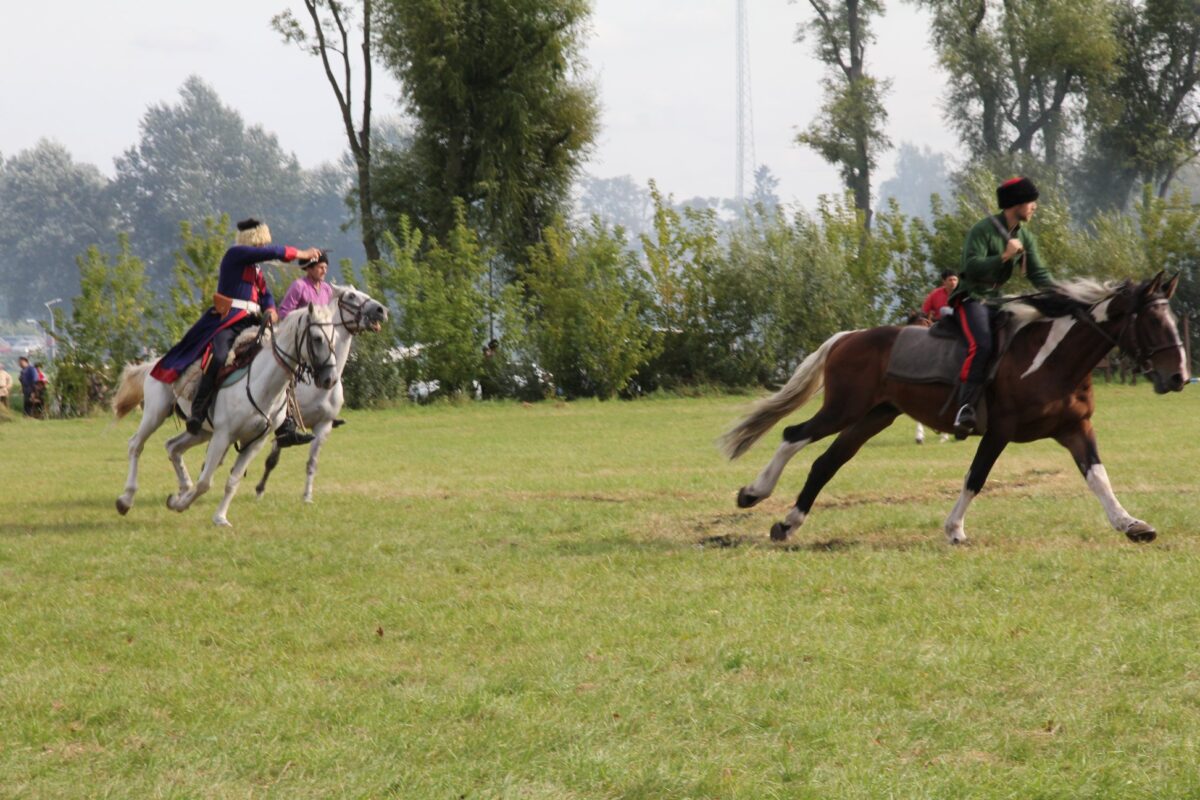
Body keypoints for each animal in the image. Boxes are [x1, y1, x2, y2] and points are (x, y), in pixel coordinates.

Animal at [112, 299, 338, 525]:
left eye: (335, 338)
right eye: (317, 338)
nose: (331, 379)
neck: (261, 383)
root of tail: (156, 362)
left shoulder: (255, 442)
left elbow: (233, 481)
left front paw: (218, 516)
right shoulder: (223, 435)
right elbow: (205, 481)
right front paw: (183, 505)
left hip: (201, 432)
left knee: (172, 447)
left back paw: (182, 490)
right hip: (155, 413)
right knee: (136, 445)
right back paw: (126, 499)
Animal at [253, 284, 388, 503]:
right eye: (351, 296)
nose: (382, 310)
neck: (318, 386)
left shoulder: (322, 426)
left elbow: (312, 463)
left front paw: (307, 496)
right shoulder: (285, 424)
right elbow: (272, 459)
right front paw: (259, 491)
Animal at [720, 273, 1190, 544]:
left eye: (1171, 320)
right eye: (1152, 322)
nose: (1179, 377)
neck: (1052, 359)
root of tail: (848, 336)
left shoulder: (1076, 429)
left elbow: (1098, 478)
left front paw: (1131, 524)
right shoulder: (999, 430)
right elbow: (975, 477)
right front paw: (955, 529)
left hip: (874, 416)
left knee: (825, 462)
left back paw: (787, 524)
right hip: (843, 408)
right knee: (792, 436)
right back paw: (753, 493)